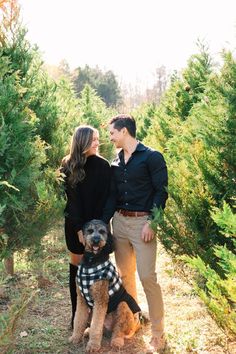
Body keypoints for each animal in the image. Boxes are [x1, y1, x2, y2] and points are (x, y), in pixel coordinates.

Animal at [69, 218, 141, 352]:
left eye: (102, 231)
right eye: (90, 230)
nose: (96, 240)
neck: (91, 261)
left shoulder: (100, 299)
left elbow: (96, 325)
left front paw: (93, 345)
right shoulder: (81, 298)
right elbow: (78, 319)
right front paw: (75, 337)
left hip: (123, 305)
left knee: (119, 329)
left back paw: (117, 341)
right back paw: (87, 331)